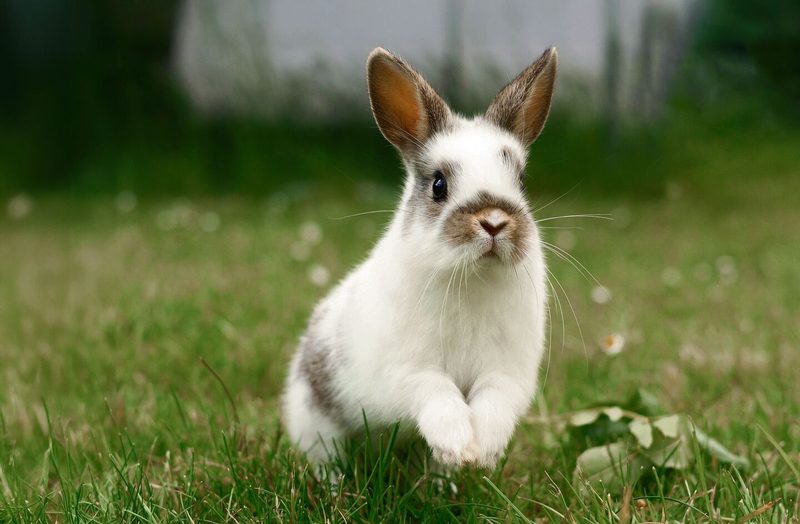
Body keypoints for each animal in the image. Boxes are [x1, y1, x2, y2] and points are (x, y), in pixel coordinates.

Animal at [282, 46, 557, 470]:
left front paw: (481, 451)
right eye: (438, 184)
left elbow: (493, 402)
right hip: (316, 422)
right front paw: (458, 444)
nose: (494, 222)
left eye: (522, 181)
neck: (472, 277)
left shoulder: (505, 373)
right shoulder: (406, 372)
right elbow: (435, 391)